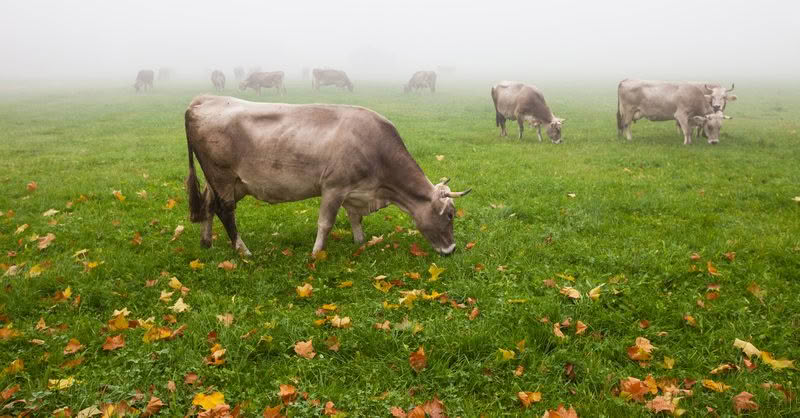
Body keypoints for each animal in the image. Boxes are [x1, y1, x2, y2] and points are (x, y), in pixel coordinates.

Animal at [184, 96, 468, 256]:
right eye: (450, 215)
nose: (452, 250)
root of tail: (203, 99)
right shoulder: (333, 187)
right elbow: (326, 223)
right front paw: (316, 253)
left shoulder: (355, 191)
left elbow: (355, 218)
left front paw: (360, 242)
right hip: (222, 176)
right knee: (225, 211)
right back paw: (244, 251)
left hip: (225, 182)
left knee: (209, 206)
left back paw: (206, 242)